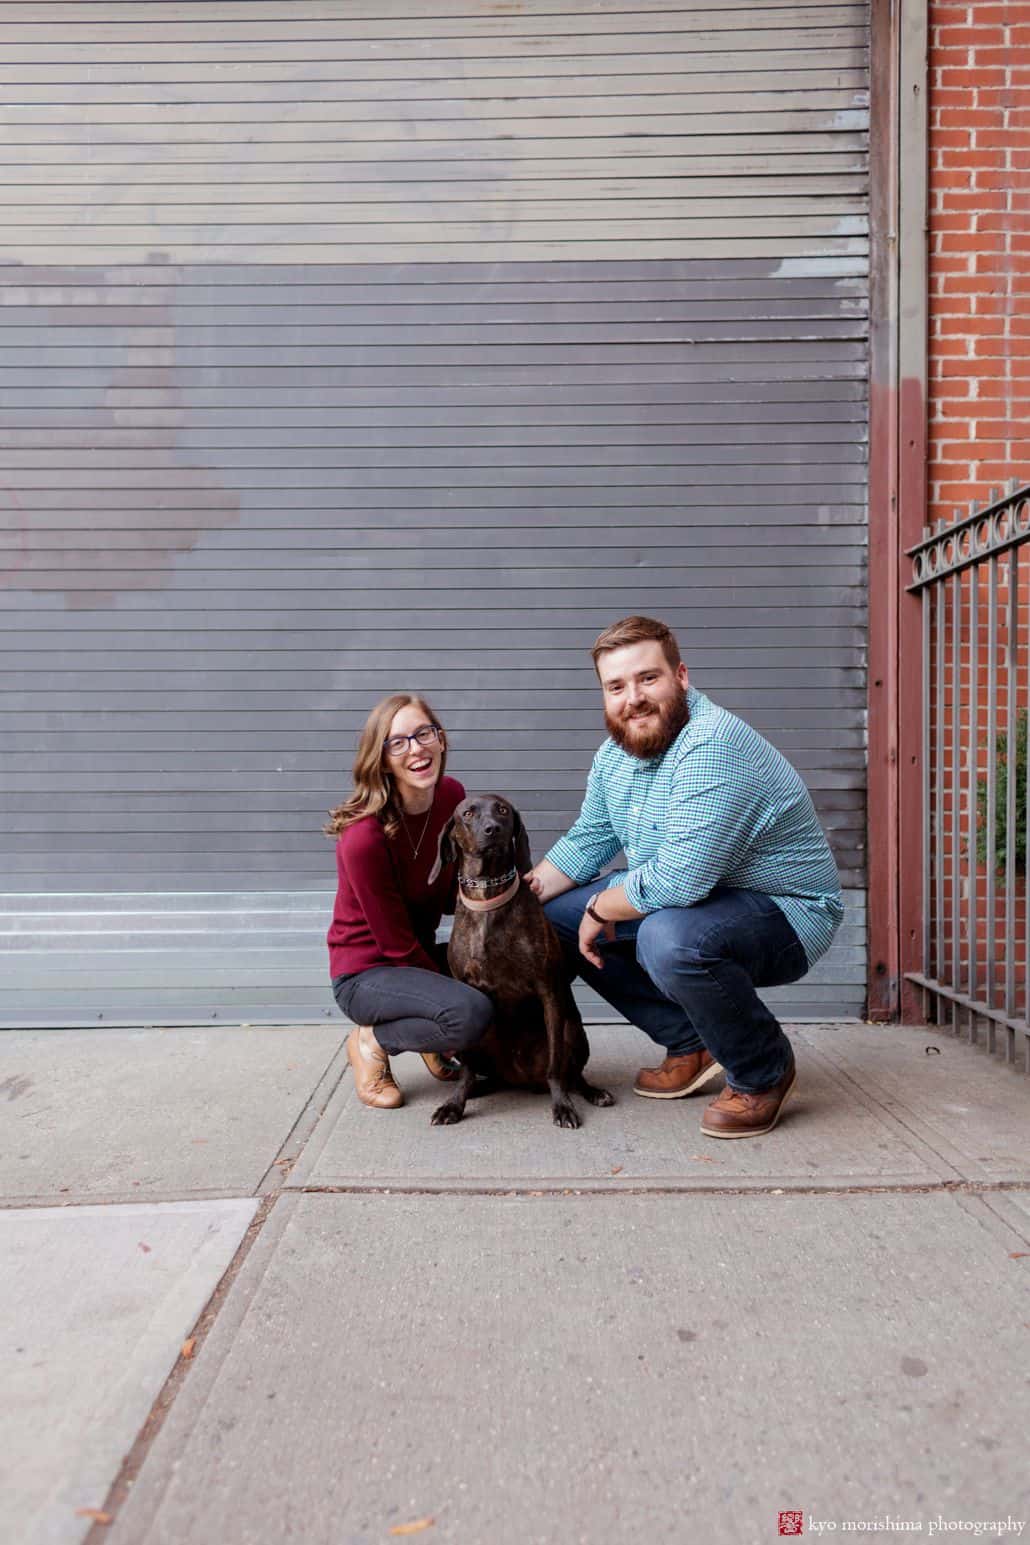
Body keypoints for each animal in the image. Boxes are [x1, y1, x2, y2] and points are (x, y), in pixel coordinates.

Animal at [426, 791, 617, 1130]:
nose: (492, 829)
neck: (489, 897)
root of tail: (521, 1078)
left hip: (573, 1030)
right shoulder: (468, 991)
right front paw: (454, 1105)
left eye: (502, 810)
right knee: (483, 1074)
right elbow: (466, 1068)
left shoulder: (548, 990)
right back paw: (477, 1088)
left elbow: (556, 1066)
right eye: (468, 813)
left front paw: (562, 1106)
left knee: (572, 1075)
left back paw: (591, 1092)